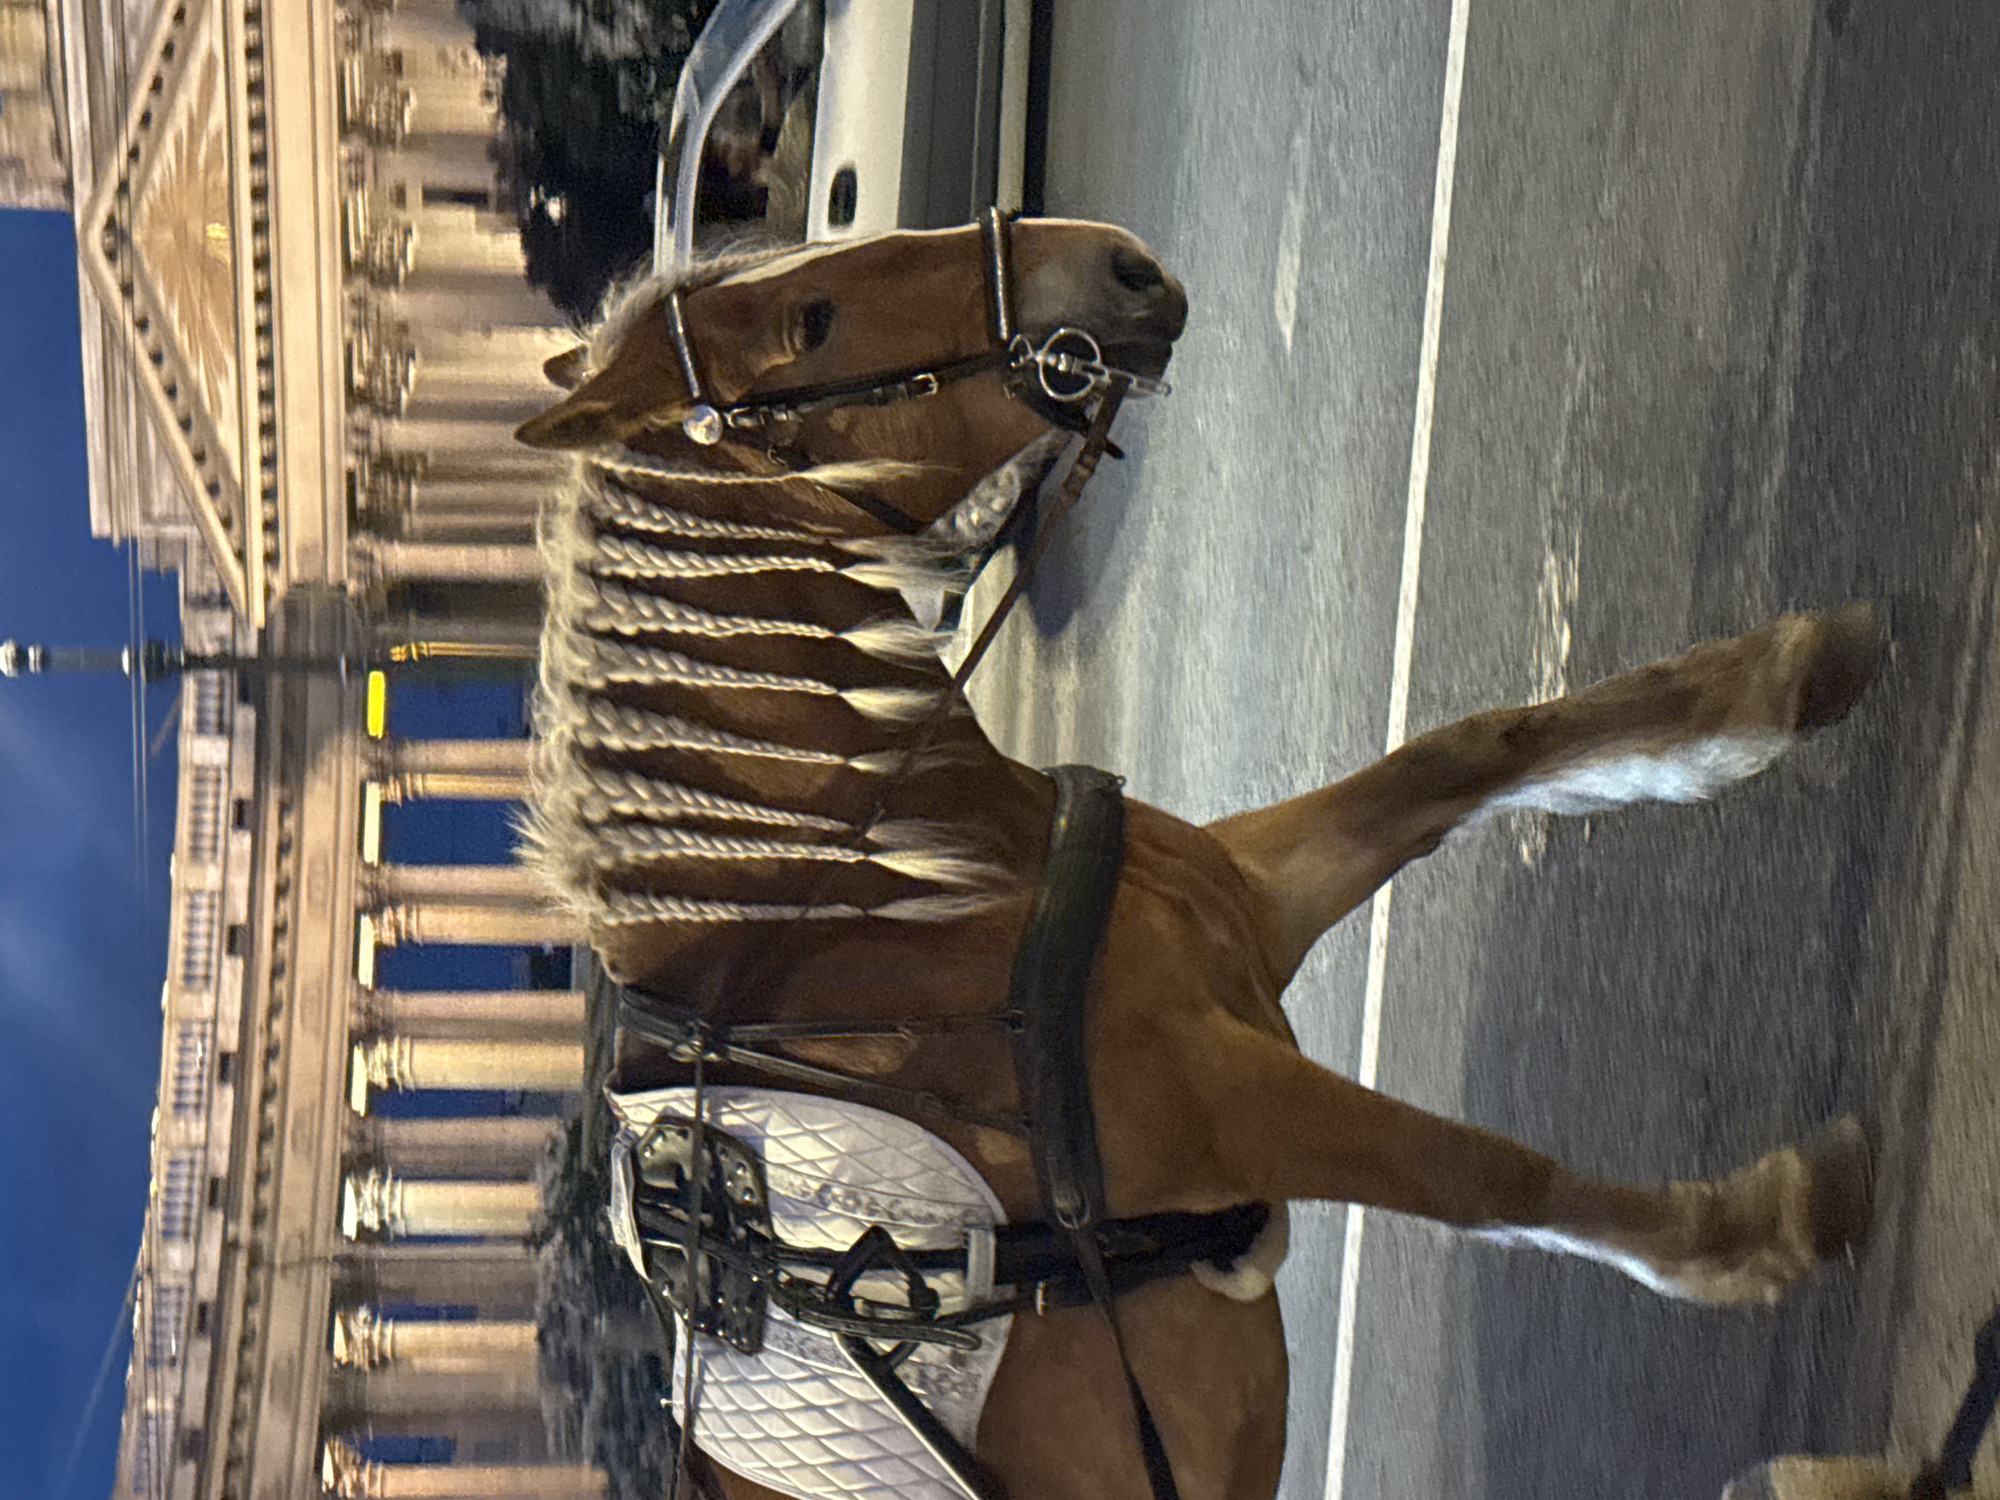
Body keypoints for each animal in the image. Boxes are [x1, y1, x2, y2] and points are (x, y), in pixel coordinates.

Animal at [513, 216, 1883, 1500]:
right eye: (813, 323)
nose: (1117, 268)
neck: (864, 927)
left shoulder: (1251, 907)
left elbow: (1467, 756)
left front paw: (1773, 684)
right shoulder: (1225, 1098)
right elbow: (1487, 1174)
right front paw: (1753, 1230)